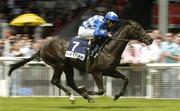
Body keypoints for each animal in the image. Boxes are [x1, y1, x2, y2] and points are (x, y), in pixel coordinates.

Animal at [8, 20, 152, 102]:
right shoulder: (96, 72)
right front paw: (87, 90)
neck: (108, 49)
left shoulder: (110, 71)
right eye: (138, 28)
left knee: (70, 82)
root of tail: (42, 46)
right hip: (59, 64)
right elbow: (101, 90)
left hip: (68, 66)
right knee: (55, 81)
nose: (150, 39)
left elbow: (126, 79)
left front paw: (117, 95)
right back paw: (75, 96)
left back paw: (85, 97)